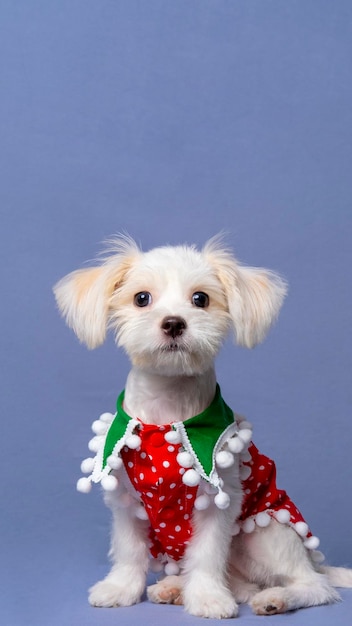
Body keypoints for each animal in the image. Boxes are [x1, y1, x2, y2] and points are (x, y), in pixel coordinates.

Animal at [53, 235, 352, 620]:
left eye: (200, 299)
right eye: (141, 298)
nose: (173, 323)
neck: (165, 416)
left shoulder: (218, 503)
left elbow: (208, 555)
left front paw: (208, 598)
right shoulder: (126, 500)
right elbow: (129, 549)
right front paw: (120, 588)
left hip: (267, 531)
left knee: (314, 586)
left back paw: (276, 599)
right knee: (243, 585)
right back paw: (174, 587)